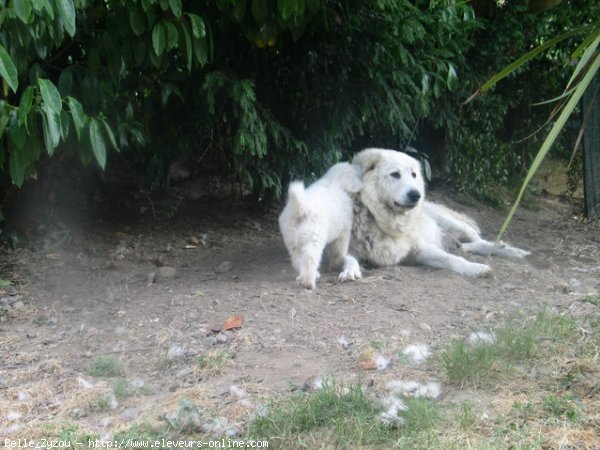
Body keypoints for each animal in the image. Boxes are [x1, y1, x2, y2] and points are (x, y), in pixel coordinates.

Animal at [352, 148, 528, 276]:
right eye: (395, 174)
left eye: (414, 175)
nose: (416, 195)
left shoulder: (421, 248)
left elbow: (452, 259)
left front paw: (476, 268)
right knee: (468, 246)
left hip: (456, 226)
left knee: (481, 242)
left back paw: (513, 251)